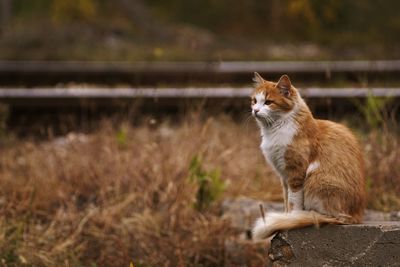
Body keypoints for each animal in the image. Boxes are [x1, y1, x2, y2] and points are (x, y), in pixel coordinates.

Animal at [252, 73, 368, 241]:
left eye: (268, 102)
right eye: (254, 101)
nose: (255, 110)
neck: (276, 129)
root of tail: (357, 217)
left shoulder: (295, 173)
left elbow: (293, 202)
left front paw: (291, 218)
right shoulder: (283, 176)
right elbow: (286, 201)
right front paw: (286, 217)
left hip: (317, 180)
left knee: (332, 217)